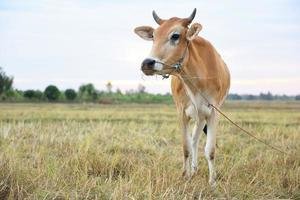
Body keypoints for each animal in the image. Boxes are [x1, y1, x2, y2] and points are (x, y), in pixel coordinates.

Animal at [134, 7, 230, 186]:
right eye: (154, 36)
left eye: (175, 36)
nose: (147, 63)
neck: (197, 79)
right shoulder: (181, 112)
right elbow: (186, 146)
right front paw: (185, 175)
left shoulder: (214, 112)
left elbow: (210, 150)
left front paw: (212, 182)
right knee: (193, 141)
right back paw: (193, 170)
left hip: (202, 116)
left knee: (196, 140)